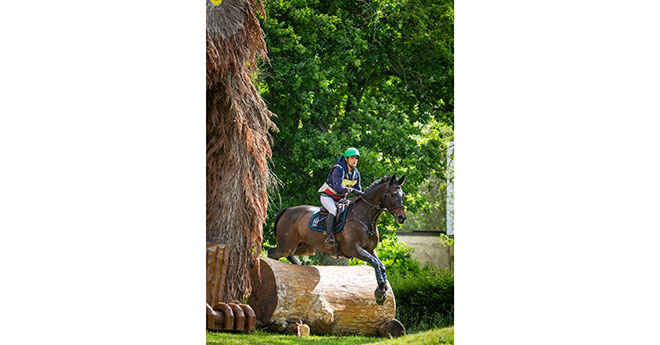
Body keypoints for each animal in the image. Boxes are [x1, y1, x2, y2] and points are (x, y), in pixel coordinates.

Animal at [268, 173, 408, 302]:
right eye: (393, 194)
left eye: (403, 194)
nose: (402, 217)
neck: (366, 217)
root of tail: (286, 210)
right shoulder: (353, 249)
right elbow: (376, 263)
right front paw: (380, 291)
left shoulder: (370, 250)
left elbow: (380, 264)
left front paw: (382, 291)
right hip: (287, 245)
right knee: (272, 252)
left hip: (303, 247)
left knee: (287, 255)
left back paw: (296, 264)